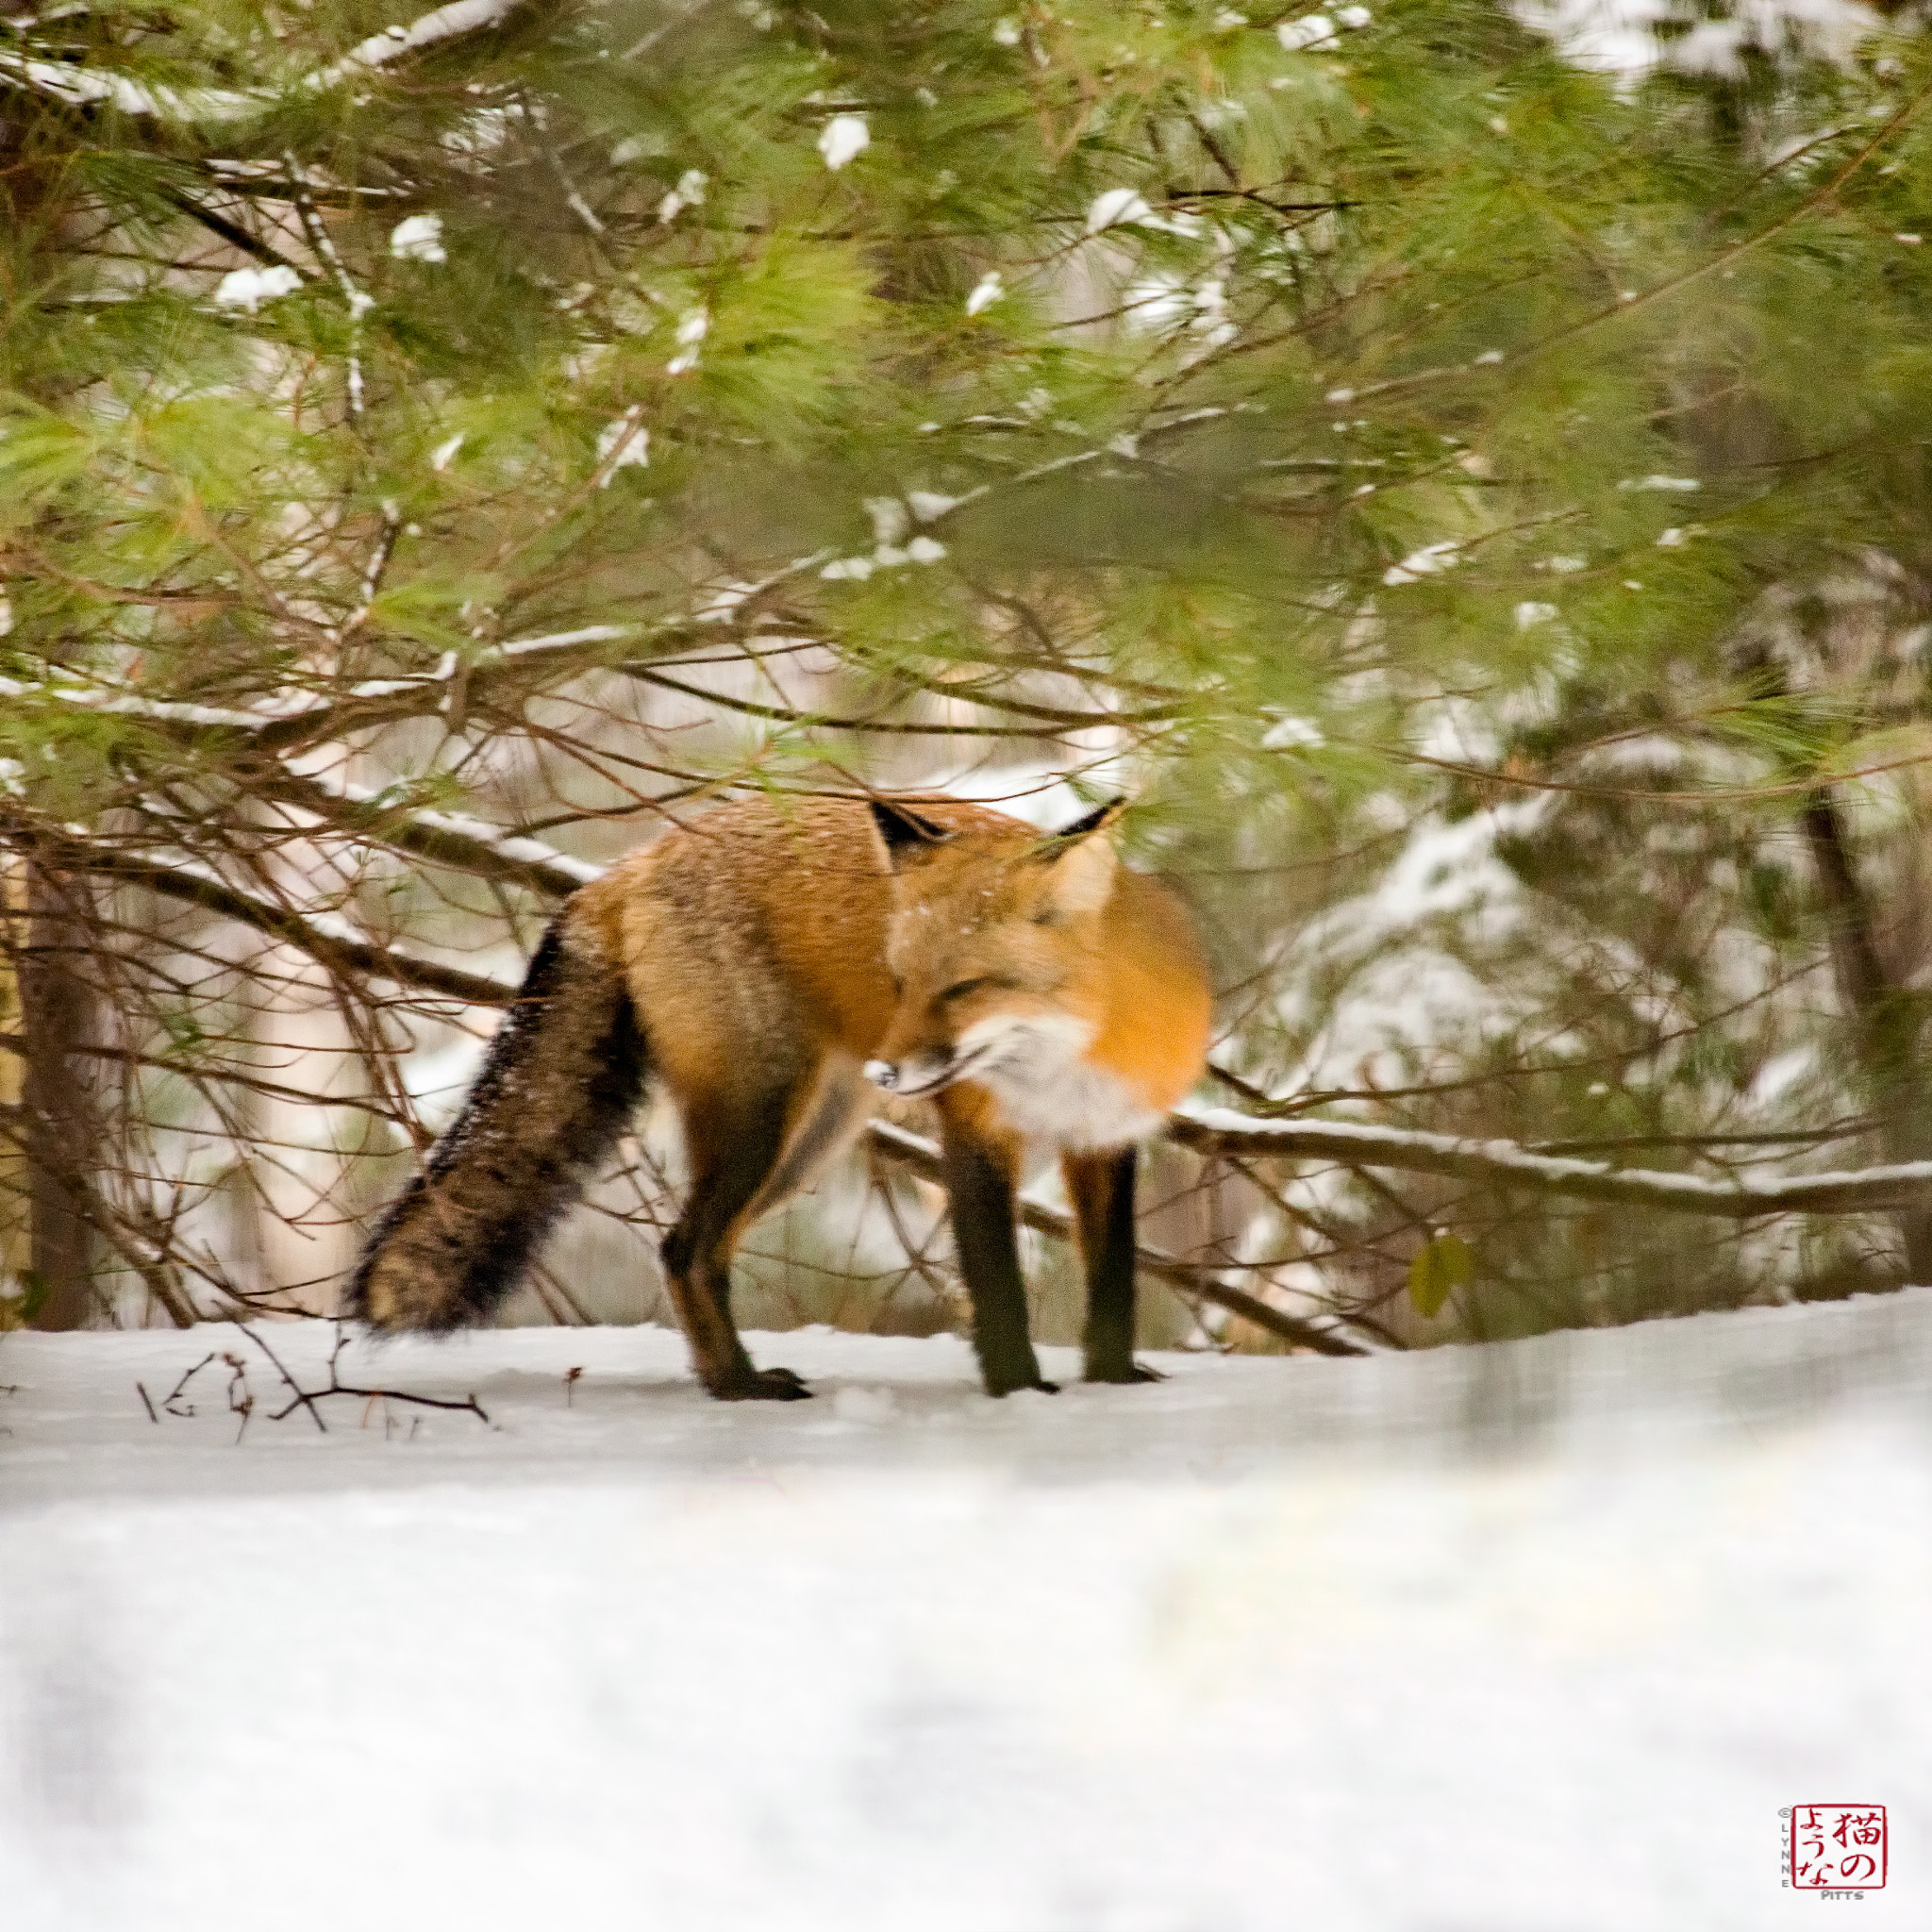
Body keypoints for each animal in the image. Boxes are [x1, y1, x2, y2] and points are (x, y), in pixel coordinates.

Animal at [347, 793, 1212, 1399]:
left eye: (964, 989)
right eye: (899, 982)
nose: (888, 1074)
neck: (1069, 1058)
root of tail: (632, 863)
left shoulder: (1106, 1134)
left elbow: (1114, 1279)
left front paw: (1112, 1382)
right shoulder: (975, 1135)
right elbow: (998, 1287)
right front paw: (1021, 1394)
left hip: (807, 1143)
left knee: (690, 1252)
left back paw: (722, 1377)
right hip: (763, 1122)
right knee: (685, 1248)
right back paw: (739, 1387)